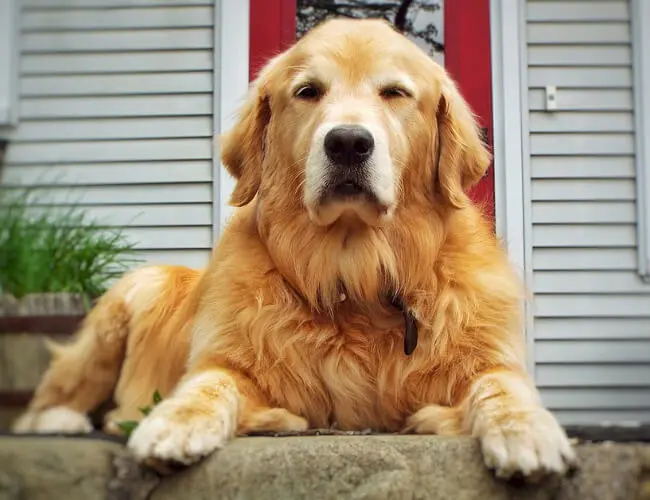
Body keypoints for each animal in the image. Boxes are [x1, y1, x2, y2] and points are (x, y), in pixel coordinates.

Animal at [13, 19, 572, 480]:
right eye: (308, 91)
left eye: (394, 92)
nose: (347, 143)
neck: (355, 277)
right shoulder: (224, 360)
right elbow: (208, 384)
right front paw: (174, 422)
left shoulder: (488, 362)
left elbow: (502, 387)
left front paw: (527, 429)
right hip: (130, 299)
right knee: (59, 393)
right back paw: (61, 421)